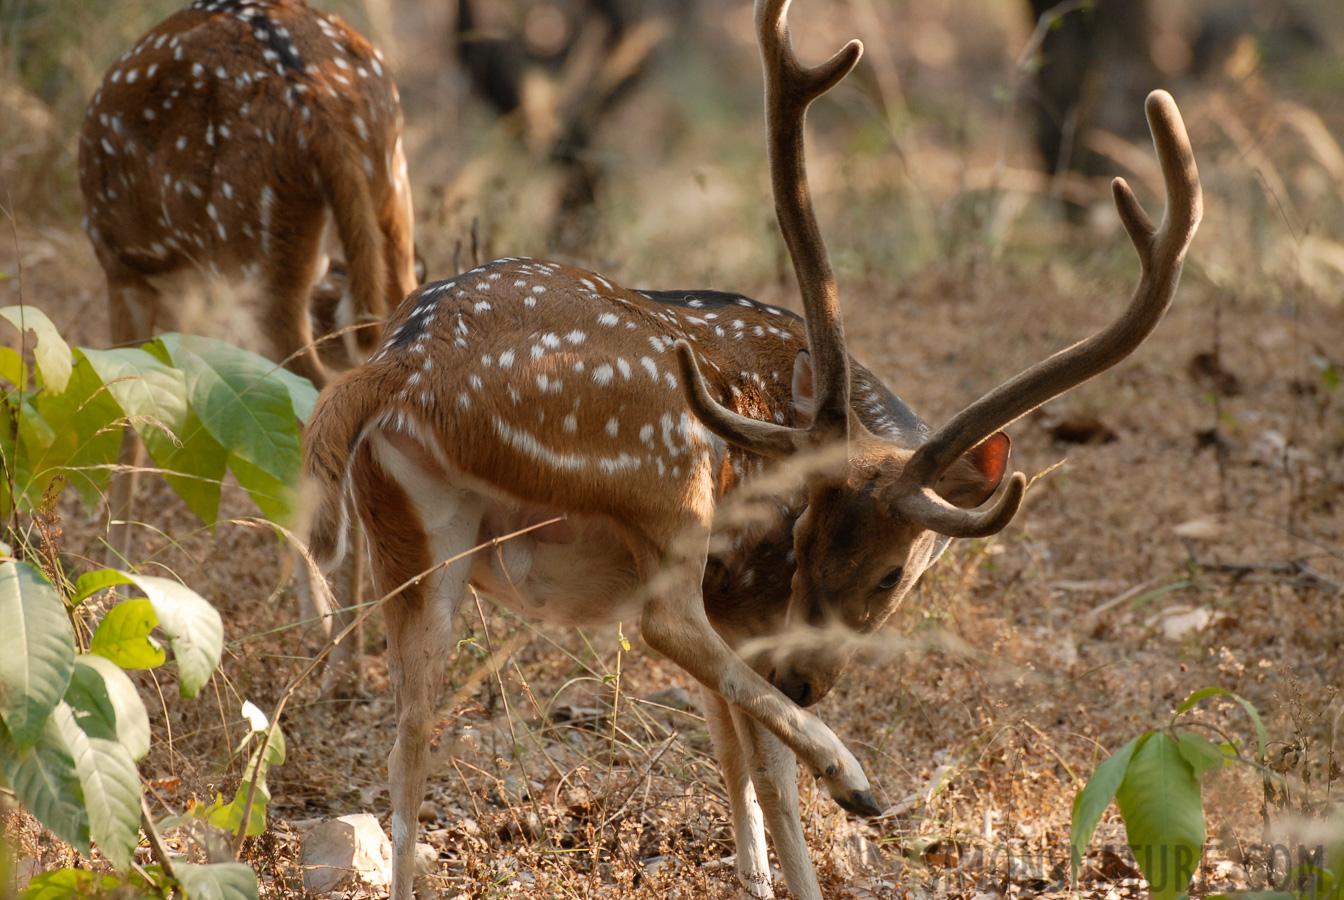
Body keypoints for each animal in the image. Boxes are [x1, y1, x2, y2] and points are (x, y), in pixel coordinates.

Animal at [79, 0, 413, 564]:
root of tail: (316, 99)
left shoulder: (124, 270)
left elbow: (131, 421)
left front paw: (113, 571)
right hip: (391, 206)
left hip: (255, 254)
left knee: (318, 409)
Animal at [299, 0, 1204, 897]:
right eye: (797, 536)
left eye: (890, 573)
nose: (806, 678)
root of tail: (402, 362)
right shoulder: (746, 604)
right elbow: (764, 772)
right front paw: (805, 847)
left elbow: (731, 757)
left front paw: (757, 874)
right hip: (662, 463)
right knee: (663, 623)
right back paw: (854, 775)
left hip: (412, 537)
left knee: (409, 731)